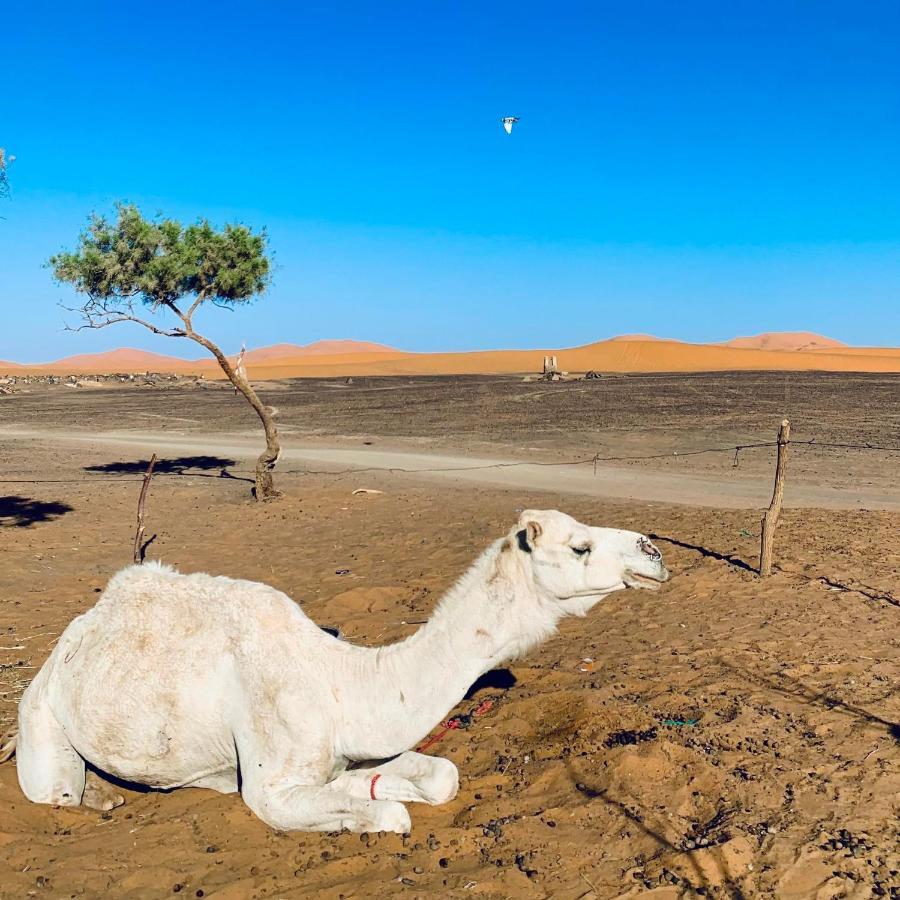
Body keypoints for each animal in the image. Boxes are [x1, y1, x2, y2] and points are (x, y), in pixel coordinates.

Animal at [1, 510, 668, 832]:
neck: (343, 681)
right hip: (41, 720)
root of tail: (66, 644)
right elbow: (392, 816)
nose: (654, 551)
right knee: (57, 793)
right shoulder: (270, 787)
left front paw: (373, 785)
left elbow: (438, 777)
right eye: (579, 546)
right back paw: (100, 803)